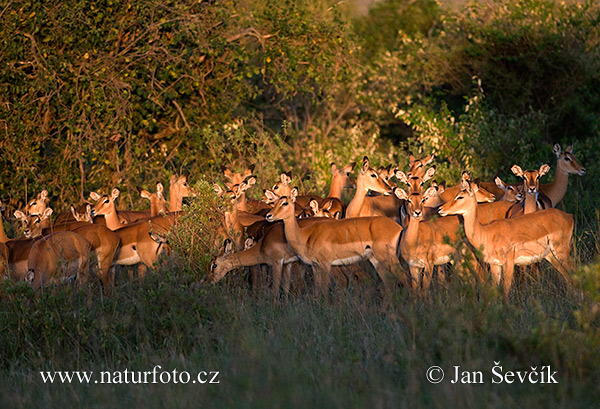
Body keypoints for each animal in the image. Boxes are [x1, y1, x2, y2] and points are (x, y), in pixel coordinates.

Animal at [264, 188, 406, 294]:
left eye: (285, 203)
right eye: (274, 203)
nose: (268, 216)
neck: (305, 234)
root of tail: (399, 228)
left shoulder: (326, 264)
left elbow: (324, 289)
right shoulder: (315, 266)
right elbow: (318, 289)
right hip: (376, 260)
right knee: (388, 283)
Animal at [438, 178, 576, 294]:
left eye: (460, 197)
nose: (440, 209)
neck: (486, 232)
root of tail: (569, 216)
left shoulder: (509, 264)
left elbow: (505, 291)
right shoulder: (495, 265)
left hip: (561, 252)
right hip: (551, 256)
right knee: (568, 278)